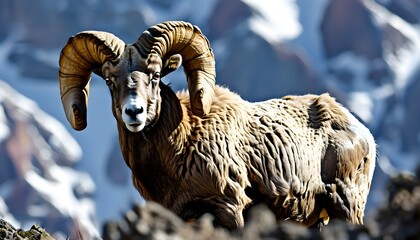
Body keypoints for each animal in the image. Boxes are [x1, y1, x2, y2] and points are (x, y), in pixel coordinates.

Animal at [57, 21, 376, 229]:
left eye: (156, 75)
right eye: (110, 81)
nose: (133, 112)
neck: (180, 149)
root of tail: (362, 133)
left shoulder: (229, 209)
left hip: (346, 206)